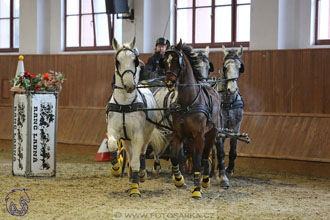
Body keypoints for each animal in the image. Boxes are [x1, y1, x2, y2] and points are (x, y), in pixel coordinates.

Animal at [107, 37, 166, 197]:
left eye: (135, 61)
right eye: (117, 61)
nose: (129, 86)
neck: (125, 103)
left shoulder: (138, 135)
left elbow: (135, 162)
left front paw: (135, 188)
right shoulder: (113, 131)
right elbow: (112, 144)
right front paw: (115, 168)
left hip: (147, 134)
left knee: (142, 152)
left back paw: (142, 174)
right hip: (126, 138)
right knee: (129, 151)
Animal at [160, 39, 220, 199]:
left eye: (177, 60)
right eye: (164, 61)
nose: (169, 82)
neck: (187, 103)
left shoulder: (199, 135)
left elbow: (198, 161)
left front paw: (196, 189)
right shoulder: (178, 134)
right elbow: (175, 157)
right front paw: (179, 180)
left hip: (211, 133)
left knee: (205, 156)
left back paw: (205, 180)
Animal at [209, 45, 245, 187]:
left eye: (239, 67)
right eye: (225, 67)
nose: (232, 89)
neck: (229, 101)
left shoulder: (236, 125)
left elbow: (233, 149)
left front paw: (229, 170)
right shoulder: (219, 128)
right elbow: (221, 151)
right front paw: (222, 177)